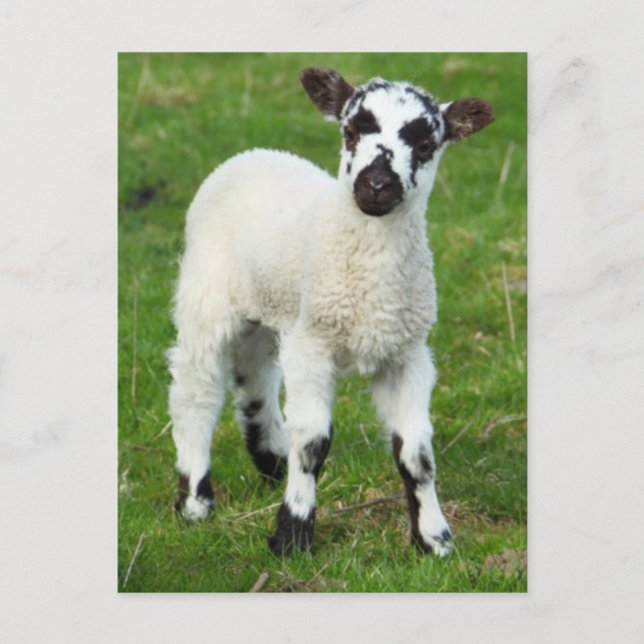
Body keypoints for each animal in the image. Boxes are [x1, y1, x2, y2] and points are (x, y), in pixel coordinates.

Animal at [168, 67, 494, 556]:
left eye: (425, 146)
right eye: (351, 131)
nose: (375, 185)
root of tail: (252, 153)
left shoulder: (406, 353)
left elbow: (417, 453)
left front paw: (434, 539)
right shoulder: (314, 346)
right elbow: (313, 443)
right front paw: (293, 534)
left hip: (272, 308)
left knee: (254, 381)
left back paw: (271, 464)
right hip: (208, 295)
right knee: (196, 390)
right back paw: (195, 501)